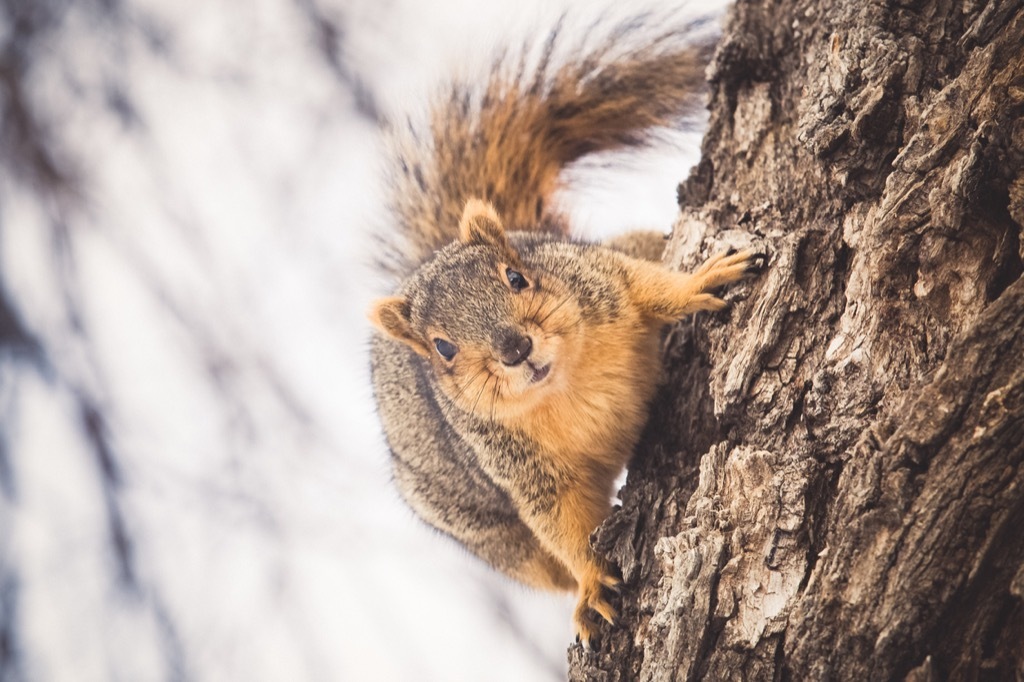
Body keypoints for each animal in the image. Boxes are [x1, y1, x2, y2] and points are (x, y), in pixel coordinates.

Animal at [368, 18, 757, 647]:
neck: (567, 382)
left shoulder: (598, 279)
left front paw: (699, 280)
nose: (515, 348)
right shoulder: (521, 468)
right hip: (489, 534)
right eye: (442, 348)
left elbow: (647, 284)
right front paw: (593, 583)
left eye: (517, 276)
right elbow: (564, 525)